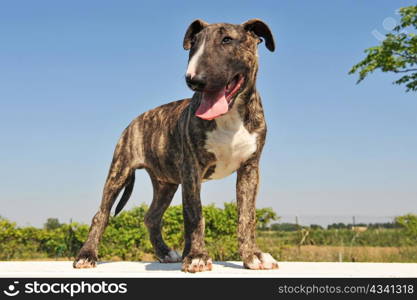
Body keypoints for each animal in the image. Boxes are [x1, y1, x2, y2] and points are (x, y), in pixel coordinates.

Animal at [73, 18, 278, 272]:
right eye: (194, 44)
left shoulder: (249, 169)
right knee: (101, 214)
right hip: (119, 170)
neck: (230, 116)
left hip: (166, 184)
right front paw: (198, 256)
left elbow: (246, 216)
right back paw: (87, 255)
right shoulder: (192, 169)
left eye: (227, 40)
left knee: (151, 216)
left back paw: (164, 252)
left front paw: (252, 256)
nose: (193, 79)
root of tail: (136, 120)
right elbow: (195, 214)